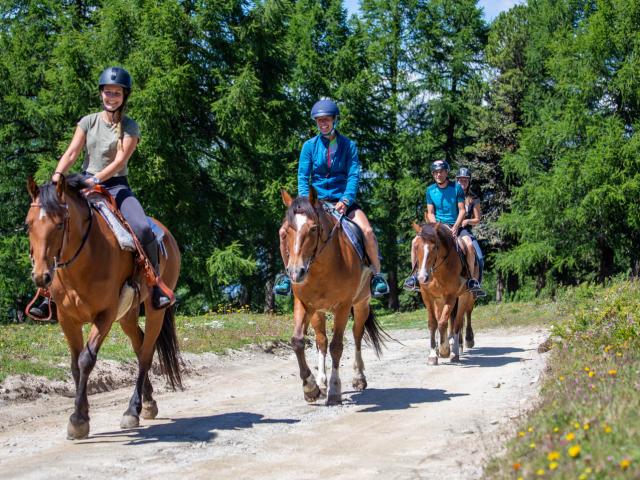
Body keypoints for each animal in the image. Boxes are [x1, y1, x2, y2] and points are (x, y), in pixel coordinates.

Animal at [25, 174, 181, 440]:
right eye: (28, 225)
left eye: (60, 224)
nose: (41, 276)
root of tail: (166, 234)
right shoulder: (67, 319)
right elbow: (74, 366)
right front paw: (83, 414)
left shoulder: (105, 315)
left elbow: (86, 360)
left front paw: (78, 421)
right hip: (127, 315)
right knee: (139, 345)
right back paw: (148, 403)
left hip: (155, 311)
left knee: (146, 354)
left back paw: (132, 410)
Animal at [280, 188, 386, 405]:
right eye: (286, 231)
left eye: (313, 229)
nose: (295, 273)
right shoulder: (304, 304)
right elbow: (298, 341)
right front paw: (310, 388)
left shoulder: (343, 307)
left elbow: (337, 346)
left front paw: (335, 389)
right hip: (317, 312)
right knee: (321, 341)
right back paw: (321, 383)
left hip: (361, 305)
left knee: (357, 335)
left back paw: (358, 378)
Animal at [412, 222, 474, 364]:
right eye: (416, 246)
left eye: (434, 247)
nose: (422, 278)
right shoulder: (428, 297)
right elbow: (433, 323)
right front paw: (433, 354)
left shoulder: (451, 296)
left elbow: (443, 323)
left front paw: (445, 350)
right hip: (439, 301)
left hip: (465, 296)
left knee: (460, 321)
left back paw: (458, 348)